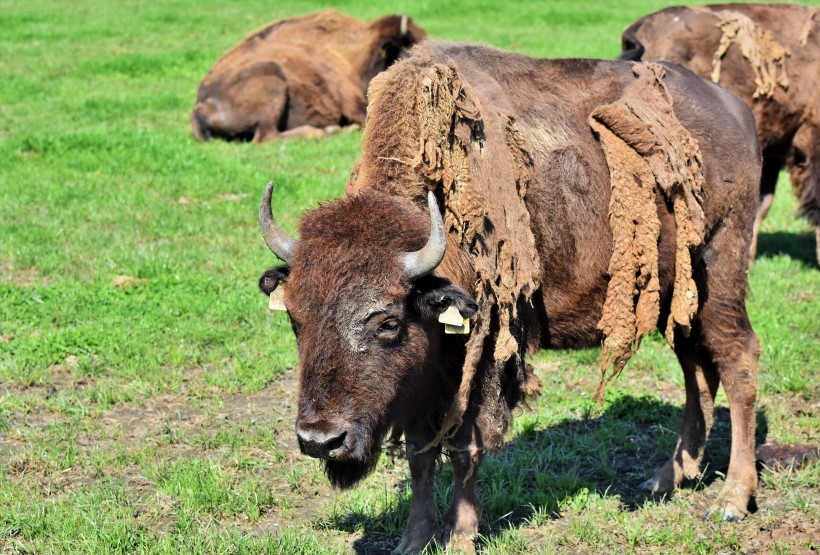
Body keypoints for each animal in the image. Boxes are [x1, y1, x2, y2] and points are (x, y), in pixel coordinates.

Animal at [258, 41, 764, 552]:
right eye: (295, 320)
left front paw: (462, 537)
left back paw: (730, 500)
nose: (320, 440)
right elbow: (421, 453)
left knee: (737, 362)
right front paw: (413, 540)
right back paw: (667, 477)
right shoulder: (424, 376)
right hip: (677, 297)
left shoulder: (479, 362)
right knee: (696, 369)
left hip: (720, 273)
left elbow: (464, 448)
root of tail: (735, 110)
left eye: (388, 322)